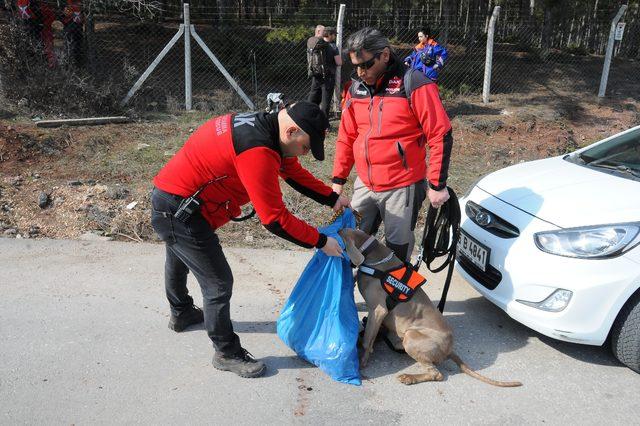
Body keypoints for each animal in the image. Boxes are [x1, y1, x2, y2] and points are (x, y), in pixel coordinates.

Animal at [340, 228, 520, 388]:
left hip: (411, 336)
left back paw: (409, 377)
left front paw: (361, 362)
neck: (371, 253)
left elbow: (367, 340)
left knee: (436, 374)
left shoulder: (378, 310)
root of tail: (449, 350)